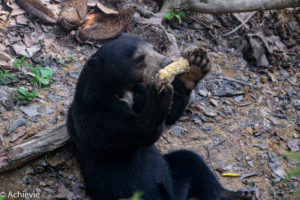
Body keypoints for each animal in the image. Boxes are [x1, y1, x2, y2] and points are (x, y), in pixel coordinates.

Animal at [67, 33, 252, 199]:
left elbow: (171, 115)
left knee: (192, 162)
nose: (166, 62)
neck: (123, 90)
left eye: (153, 47)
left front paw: (196, 66)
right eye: (139, 58)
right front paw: (159, 92)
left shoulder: (137, 94)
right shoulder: (97, 115)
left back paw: (238, 194)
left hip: (173, 174)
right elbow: (137, 132)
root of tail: (174, 196)